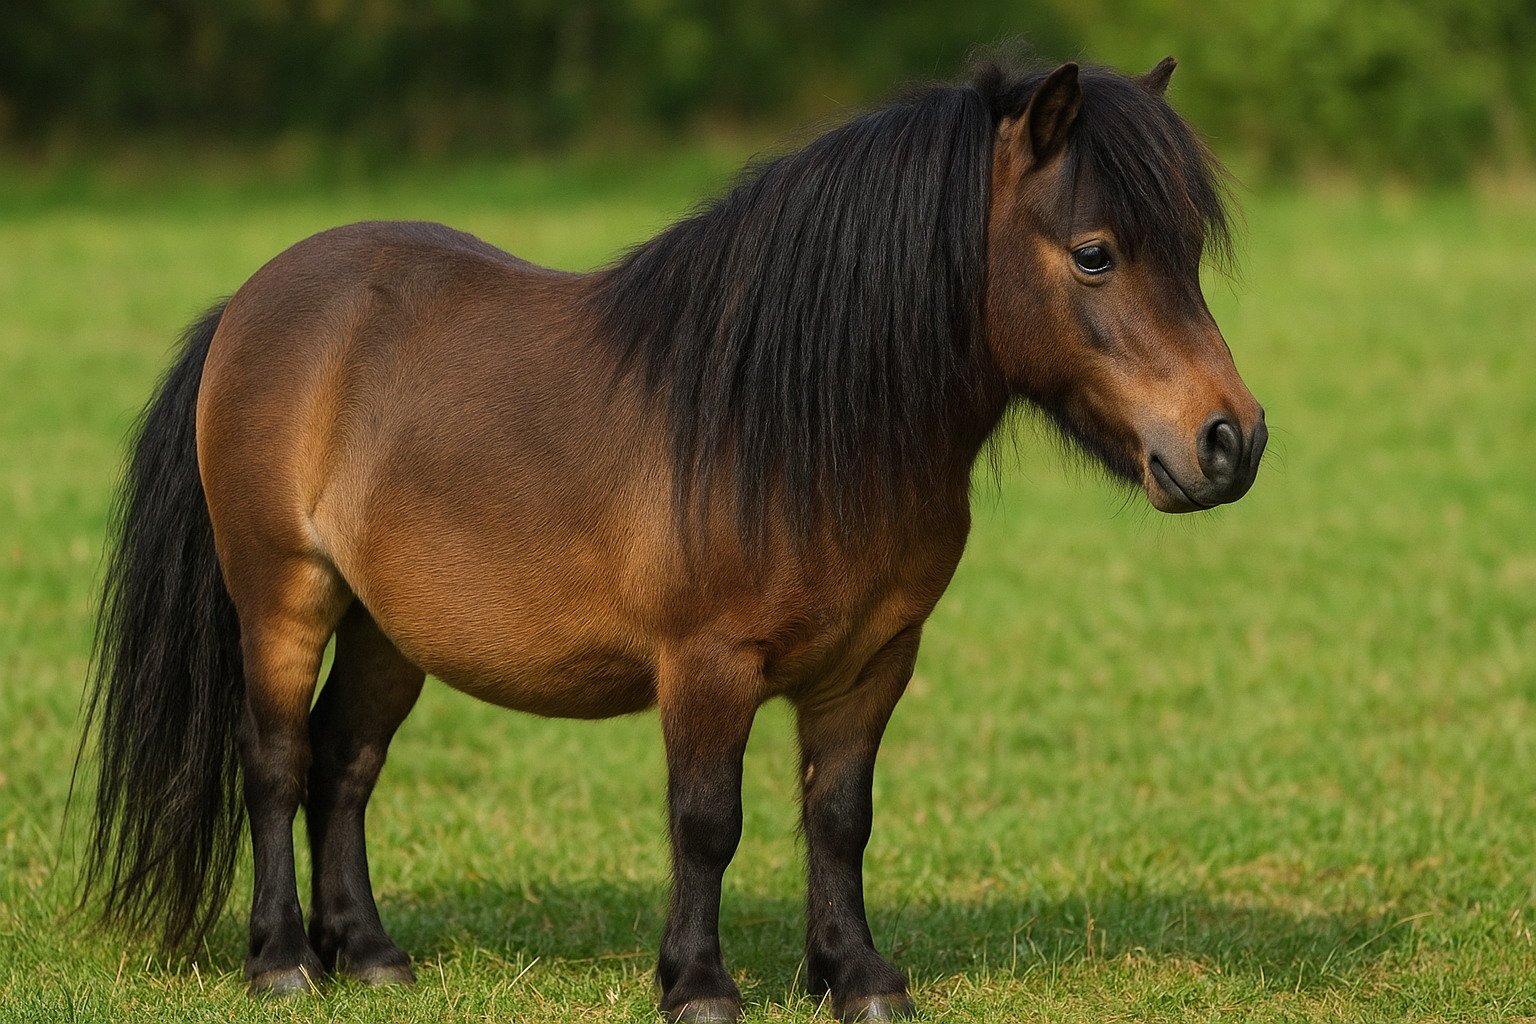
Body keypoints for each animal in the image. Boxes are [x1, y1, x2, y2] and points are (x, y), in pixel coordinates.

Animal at [77, 57, 1266, 1022]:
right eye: (1096, 253)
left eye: (1188, 250)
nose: (1231, 441)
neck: (797, 424)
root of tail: (253, 302)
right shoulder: (708, 664)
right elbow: (707, 821)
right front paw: (698, 983)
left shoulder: (873, 664)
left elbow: (840, 817)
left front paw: (856, 977)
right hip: (286, 595)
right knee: (277, 761)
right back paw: (283, 960)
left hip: (386, 630)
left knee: (346, 763)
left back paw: (368, 953)